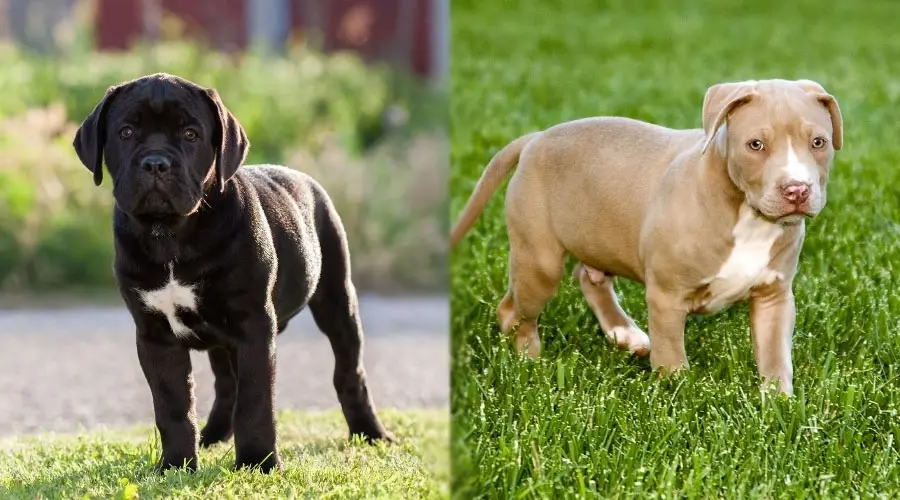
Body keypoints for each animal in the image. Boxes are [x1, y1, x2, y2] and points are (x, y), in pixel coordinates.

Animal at [71, 73, 390, 472]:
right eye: (126, 132)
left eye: (190, 134)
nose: (156, 163)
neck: (170, 233)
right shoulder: (155, 335)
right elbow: (172, 406)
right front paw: (175, 465)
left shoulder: (252, 326)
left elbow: (255, 401)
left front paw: (259, 462)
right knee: (226, 387)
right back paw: (211, 437)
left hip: (337, 301)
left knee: (349, 372)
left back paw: (371, 434)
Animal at [454, 78, 848, 394]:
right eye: (755, 145)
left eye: (818, 142)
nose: (797, 190)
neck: (747, 216)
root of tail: (536, 138)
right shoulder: (667, 297)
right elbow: (671, 353)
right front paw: (679, 394)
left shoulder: (774, 296)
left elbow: (775, 355)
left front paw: (779, 404)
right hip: (539, 260)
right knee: (515, 310)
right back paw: (530, 363)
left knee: (588, 276)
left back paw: (623, 333)